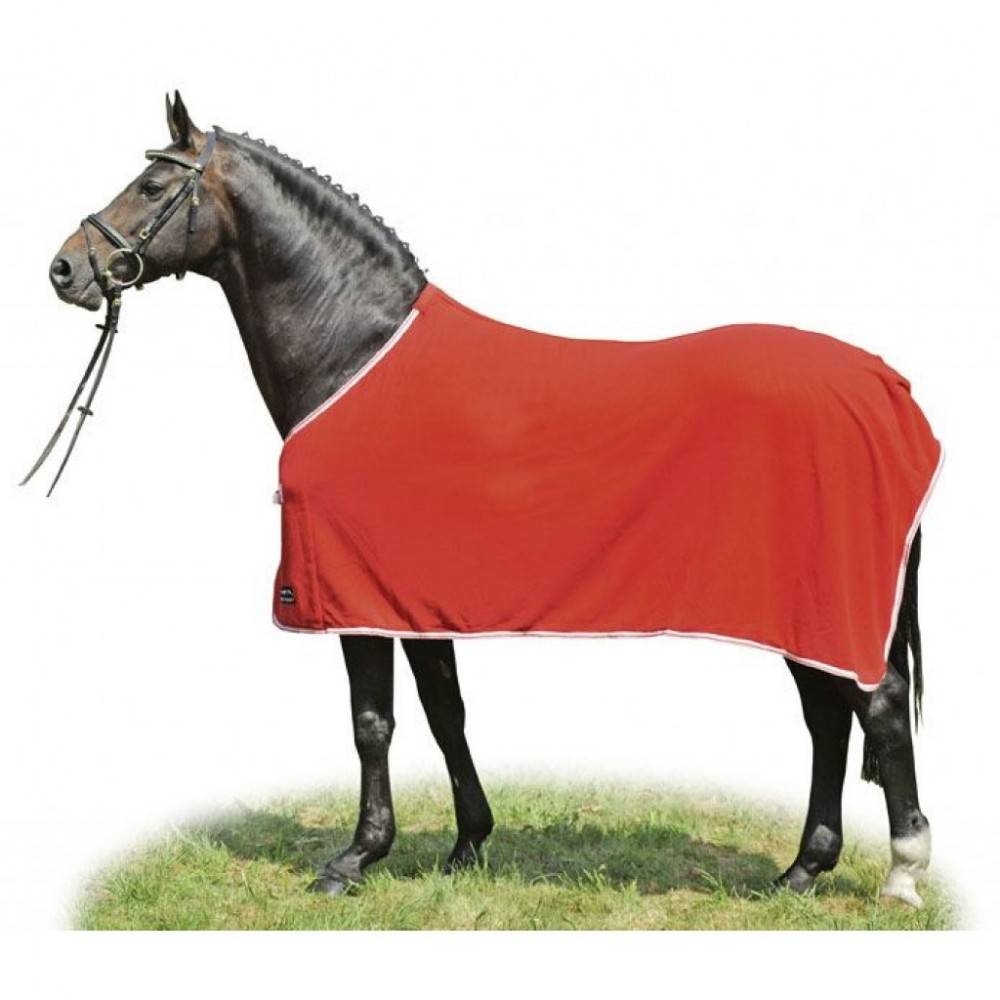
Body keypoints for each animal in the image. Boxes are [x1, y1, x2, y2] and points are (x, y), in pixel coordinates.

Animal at [44, 92, 935, 908]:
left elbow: (373, 723)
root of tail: (883, 385)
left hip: (830, 603)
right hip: (805, 611)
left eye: (154, 185)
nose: (65, 268)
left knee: (879, 707)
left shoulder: (353, 597)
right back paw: (803, 870)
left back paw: (900, 874)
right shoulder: (412, 600)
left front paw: (354, 858)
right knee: (829, 718)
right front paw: (467, 842)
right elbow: (447, 712)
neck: (355, 350)